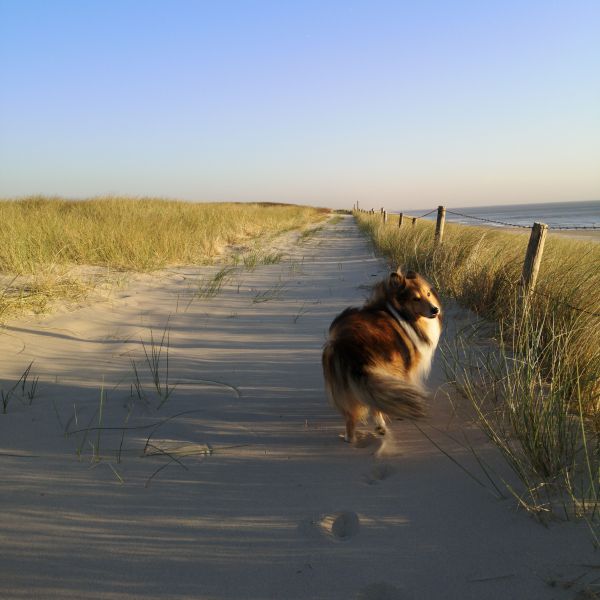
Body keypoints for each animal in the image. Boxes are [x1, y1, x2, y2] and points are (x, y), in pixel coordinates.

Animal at [322, 268, 442, 440]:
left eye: (428, 294)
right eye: (415, 298)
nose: (435, 310)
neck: (398, 312)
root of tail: (347, 345)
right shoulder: (407, 367)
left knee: (351, 415)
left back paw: (350, 439)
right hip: (384, 371)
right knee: (375, 406)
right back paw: (381, 427)